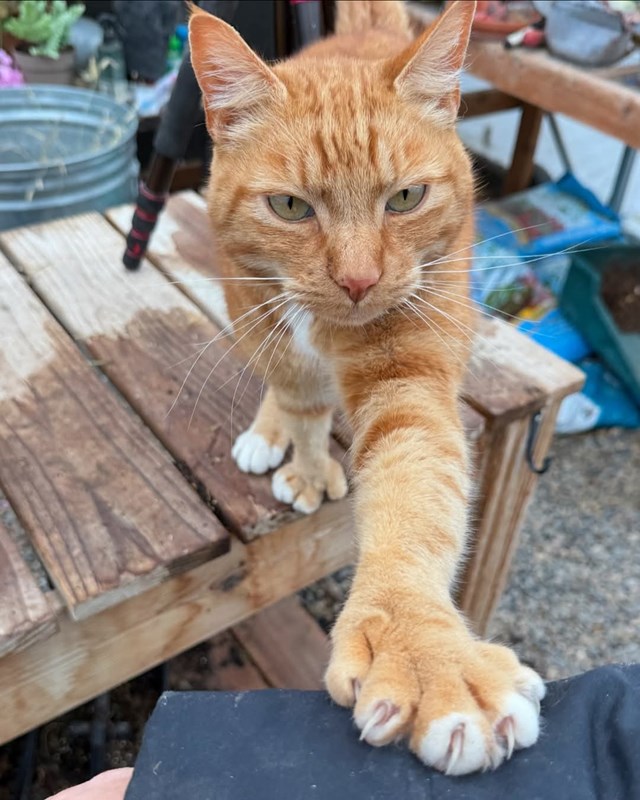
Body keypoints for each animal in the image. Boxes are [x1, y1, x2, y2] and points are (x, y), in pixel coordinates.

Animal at [189, 0, 545, 775]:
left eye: (405, 197)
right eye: (291, 207)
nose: (358, 281)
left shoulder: (406, 382)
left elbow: (414, 496)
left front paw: (425, 650)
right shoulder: (266, 318)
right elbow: (301, 402)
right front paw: (305, 459)